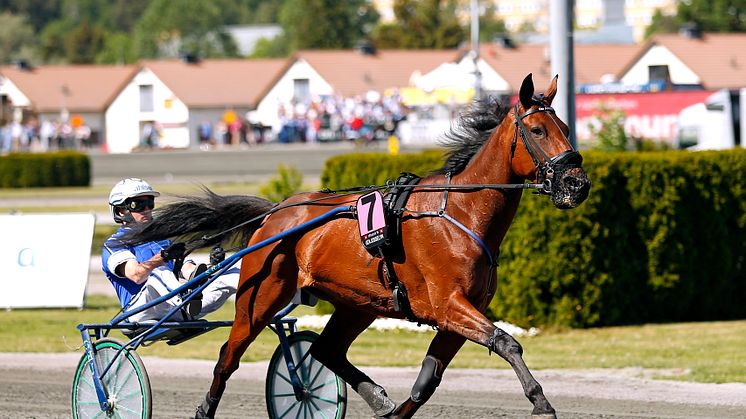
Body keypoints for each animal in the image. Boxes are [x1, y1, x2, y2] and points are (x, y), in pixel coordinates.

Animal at [120, 74, 588, 418]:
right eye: (537, 129)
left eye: (566, 128)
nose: (577, 183)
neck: (458, 213)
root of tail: (276, 211)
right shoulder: (448, 305)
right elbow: (507, 343)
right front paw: (541, 402)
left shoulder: (458, 314)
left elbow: (428, 380)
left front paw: (395, 408)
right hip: (260, 297)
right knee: (228, 356)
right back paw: (204, 407)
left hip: (358, 302)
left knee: (325, 350)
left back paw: (375, 396)